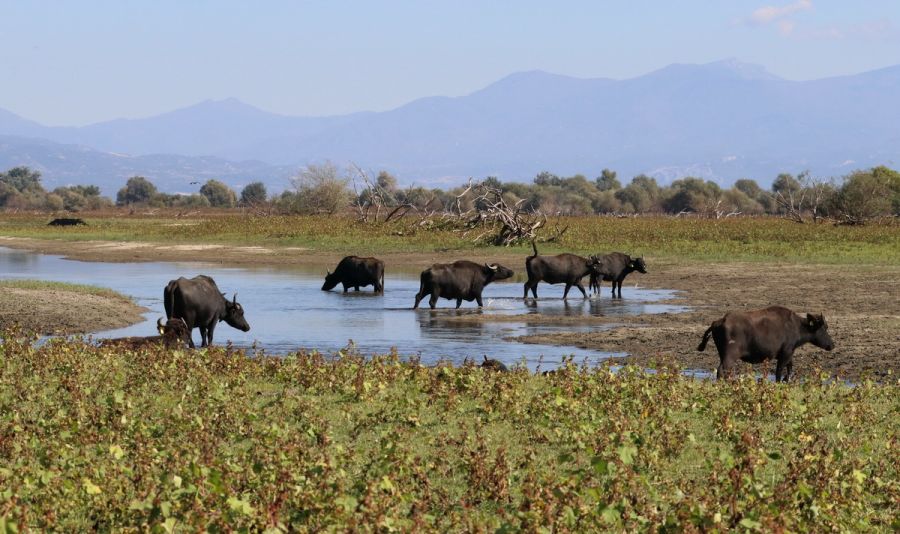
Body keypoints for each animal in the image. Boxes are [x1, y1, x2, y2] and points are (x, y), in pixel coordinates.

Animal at [696, 306, 836, 386]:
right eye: (824, 328)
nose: (832, 345)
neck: (796, 326)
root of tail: (719, 321)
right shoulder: (786, 353)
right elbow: (780, 371)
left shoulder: (789, 353)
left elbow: (790, 368)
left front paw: (786, 380)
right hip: (730, 356)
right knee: (721, 370)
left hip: (723, 355)